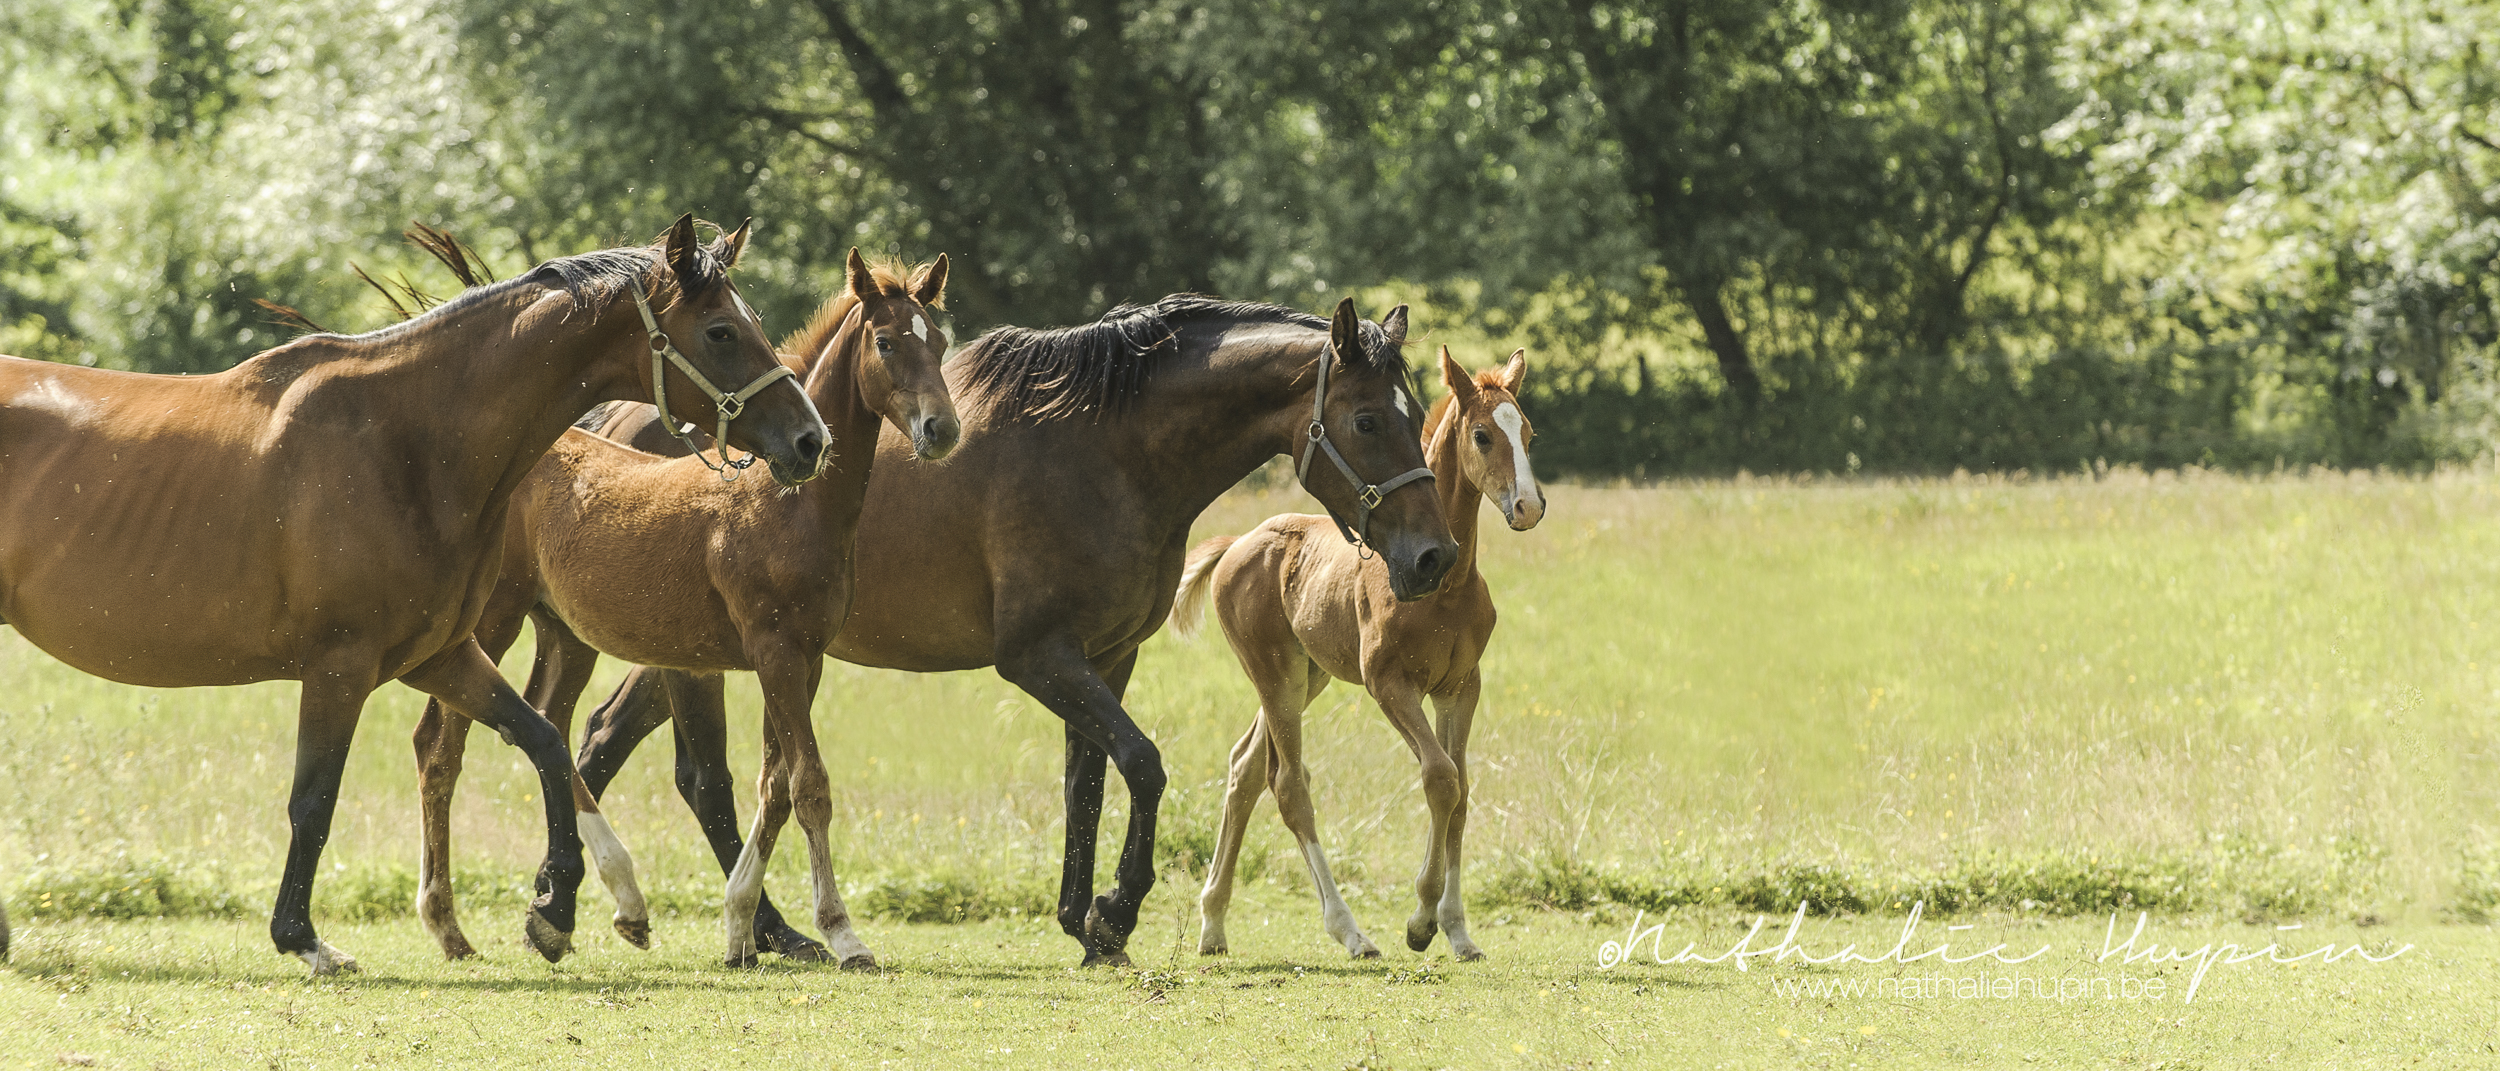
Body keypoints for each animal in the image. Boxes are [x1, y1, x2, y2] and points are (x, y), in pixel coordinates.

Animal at [0, 213, 835, 975]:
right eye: (722, 331)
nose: (810, 440)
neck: (404, 439)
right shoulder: (340, 666)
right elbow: (314, 799)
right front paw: (304, 939)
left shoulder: (436, 653)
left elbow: (540, 737)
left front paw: (562, 909)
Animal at [410, 251, 955, 970]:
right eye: (887, 342)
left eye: (940, 341)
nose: (942, 430)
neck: (790, 509)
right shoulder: (774, 652)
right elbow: (808, 785)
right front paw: (841, 931)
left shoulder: (804, 658)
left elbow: (775, 786)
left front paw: (741, 924)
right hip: (492, 620)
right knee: (442, 745)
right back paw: (451, 922)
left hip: (565, 634)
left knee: (549, 725)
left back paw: (590, 908)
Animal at [485, 296, 1460, 965]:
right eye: (1368, 418)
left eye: (1418, 416)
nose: (1433, 558)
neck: (1107, 451)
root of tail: (606, 417)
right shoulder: (1038, 656)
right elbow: (1143, 763)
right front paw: (1115, 909)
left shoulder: (1106, 656)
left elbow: (1087, 781)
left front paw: (1083, 921)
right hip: (696, 657)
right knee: (696, 777)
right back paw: (741, 925)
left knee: (604, 742)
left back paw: (582, 907)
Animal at [1170, 347, 1540, 955]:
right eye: (1483, 435)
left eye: (1528, 433)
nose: (1529, 506)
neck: (1447, 586)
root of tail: (1236, 545)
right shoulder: (1388, 684)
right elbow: (1440, 777)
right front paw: (1421, 920)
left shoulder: (1462, 686)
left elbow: (1460, 790)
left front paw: (1458, 929)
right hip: (1274, 676)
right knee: (1288, 785)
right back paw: (1349, 930)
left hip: (1306, 677)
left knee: (1244, 769)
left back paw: (1213, 924)